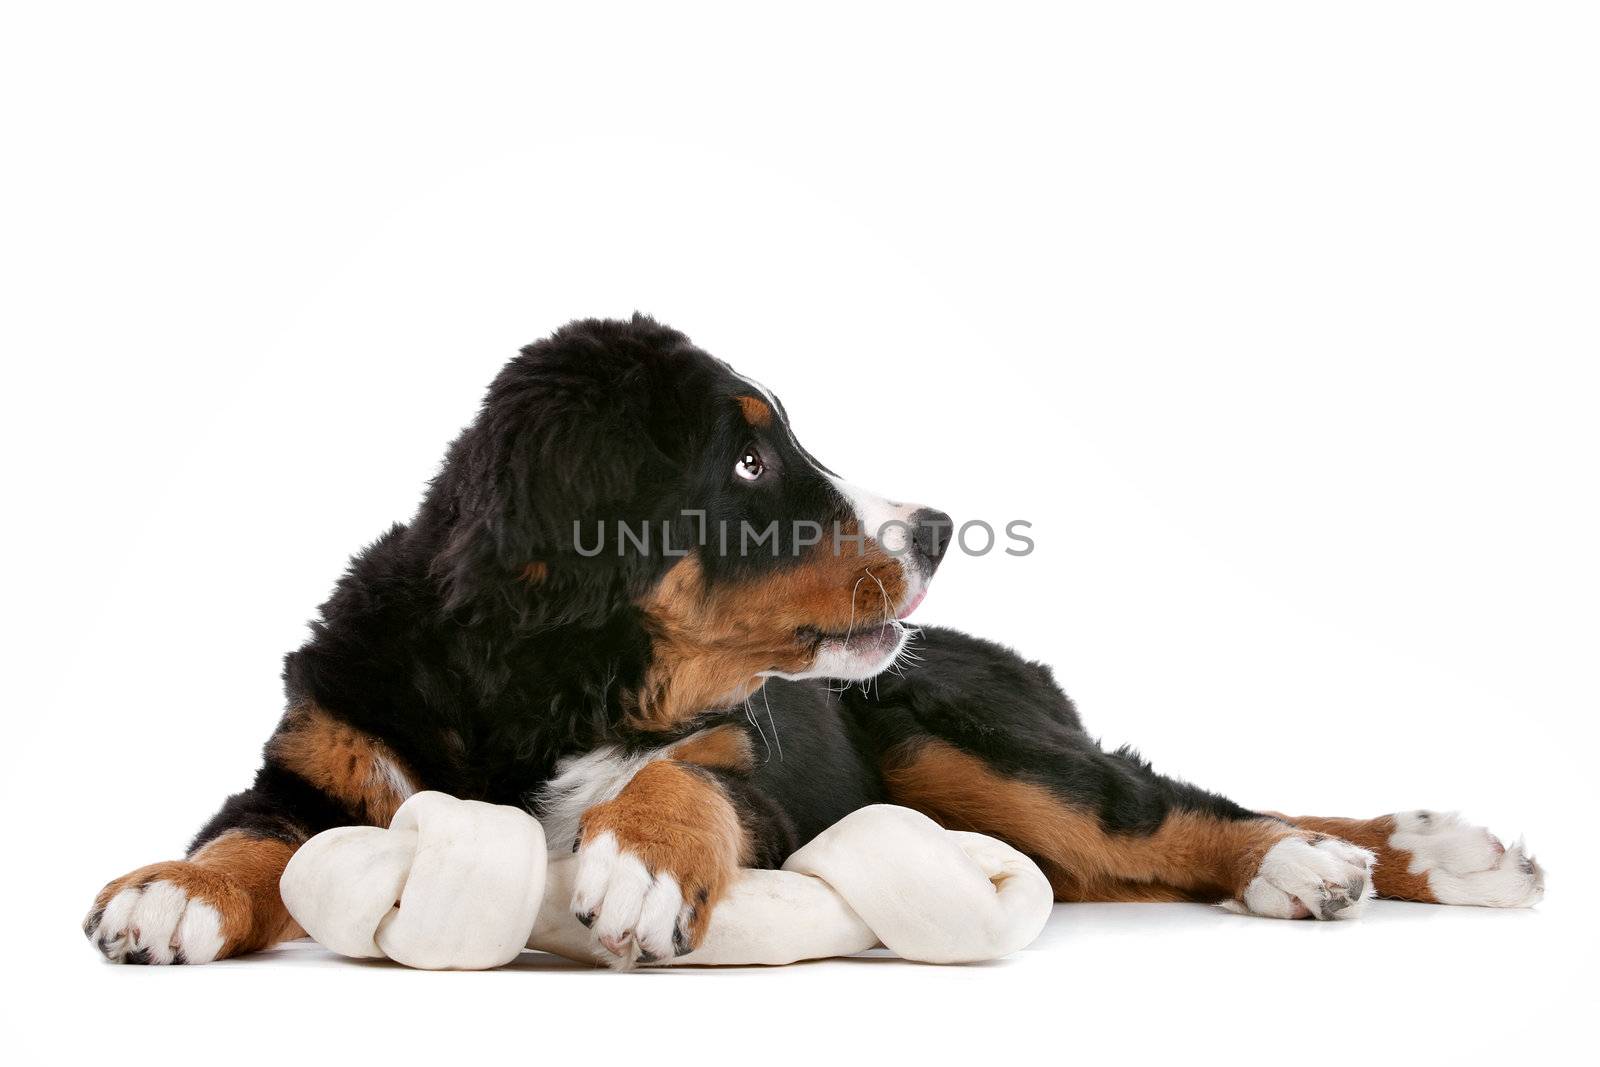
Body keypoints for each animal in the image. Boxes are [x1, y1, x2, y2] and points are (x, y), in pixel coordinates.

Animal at [81, 310, 1542, 966]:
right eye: (745, 460)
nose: (941, 522)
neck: (548, 691)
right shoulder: (319, 758)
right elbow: (252, 834)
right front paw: (170, 888)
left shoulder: (752, 753)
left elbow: (682, 776)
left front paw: (639, 863)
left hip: (965, 741)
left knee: (1157, 808)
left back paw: (1332, 861)